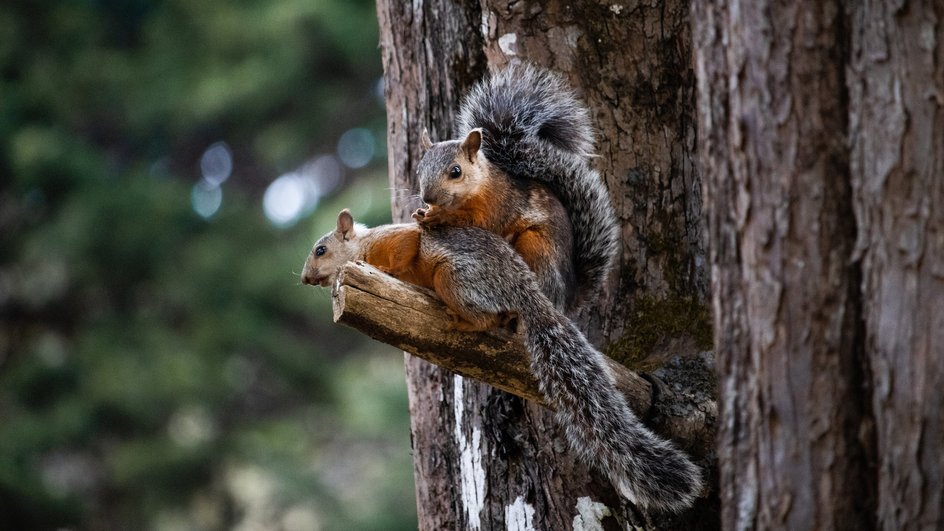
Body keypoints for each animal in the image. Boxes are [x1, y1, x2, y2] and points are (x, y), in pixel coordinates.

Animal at [300, 211, 700, 512]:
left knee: (485, 317)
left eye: (321, 249)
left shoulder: (400, 240)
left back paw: (460, 320)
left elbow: (405, 250)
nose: (304, 279)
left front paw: (384, 271)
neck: (365, 243)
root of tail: (525, 291)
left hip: (454, 277)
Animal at [412, 62, 620, 314]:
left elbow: (481, 223)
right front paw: (422, 213)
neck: (477, 188)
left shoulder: (499, 204)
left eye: (456, 171)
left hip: (535, 246)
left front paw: (439, 216)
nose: (428, 198)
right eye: (419, 169)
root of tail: (566, 301)